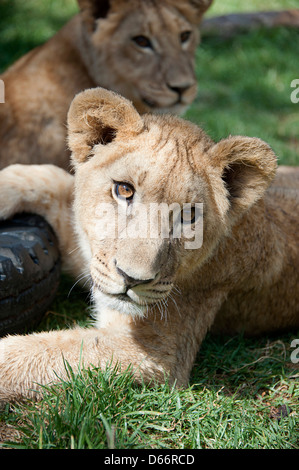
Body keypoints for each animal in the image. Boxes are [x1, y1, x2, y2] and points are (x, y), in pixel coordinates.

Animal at [0, 86, 299, 402]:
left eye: (189, 216)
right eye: (123, 190)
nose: (132, 279)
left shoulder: (156, 350)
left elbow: (42, 350)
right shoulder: (92, 257)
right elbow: (51, 178)